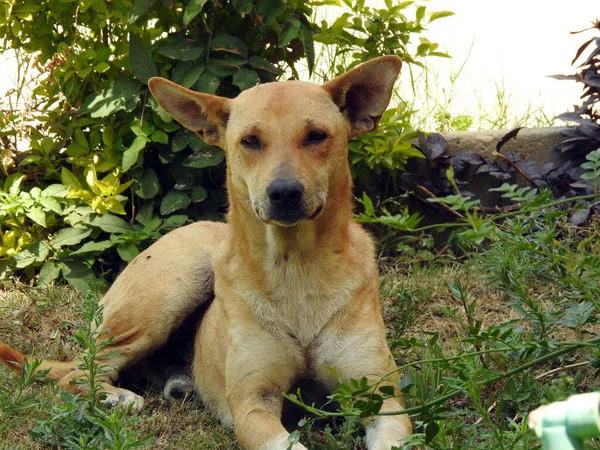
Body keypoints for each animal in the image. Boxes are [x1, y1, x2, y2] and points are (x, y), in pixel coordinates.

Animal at [0, 56, 410, 450]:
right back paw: (115, 396)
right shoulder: (252, 405)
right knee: (76, 373)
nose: (284, 193)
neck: (297, 267)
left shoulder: (384, 401)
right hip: (166, 295)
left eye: (316, 136)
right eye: (250, 141)